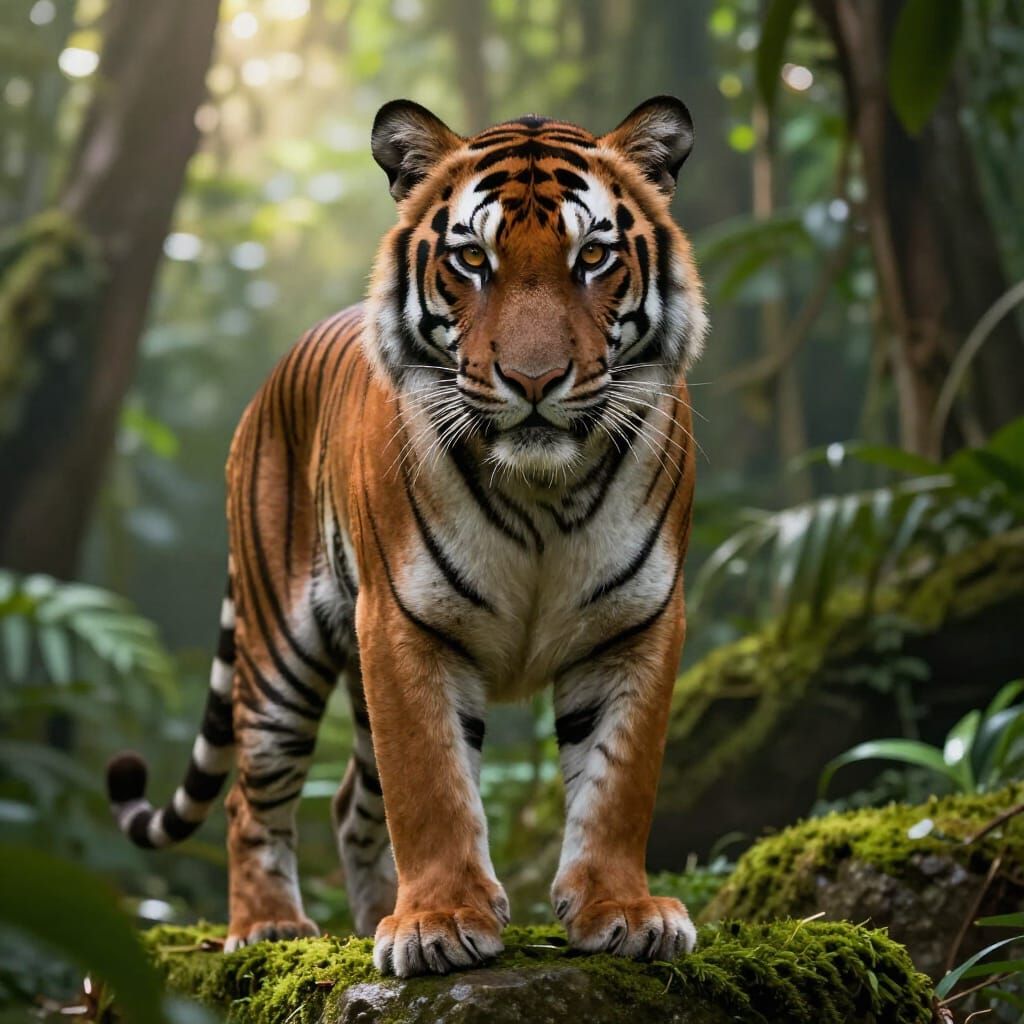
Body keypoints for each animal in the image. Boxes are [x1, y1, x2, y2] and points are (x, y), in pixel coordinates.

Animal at [106, 95, 707, 977]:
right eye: (473, 259)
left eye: (593, 256)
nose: (533, 380)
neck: (542, 491)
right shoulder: (402, 623)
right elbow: (430, 785)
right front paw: (439, 922)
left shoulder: (638, 621)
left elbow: (618, 781)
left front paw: (623, 911)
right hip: (281, 654)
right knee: (254, 797)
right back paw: (270, 926)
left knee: (352, 801)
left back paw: (364, 920)